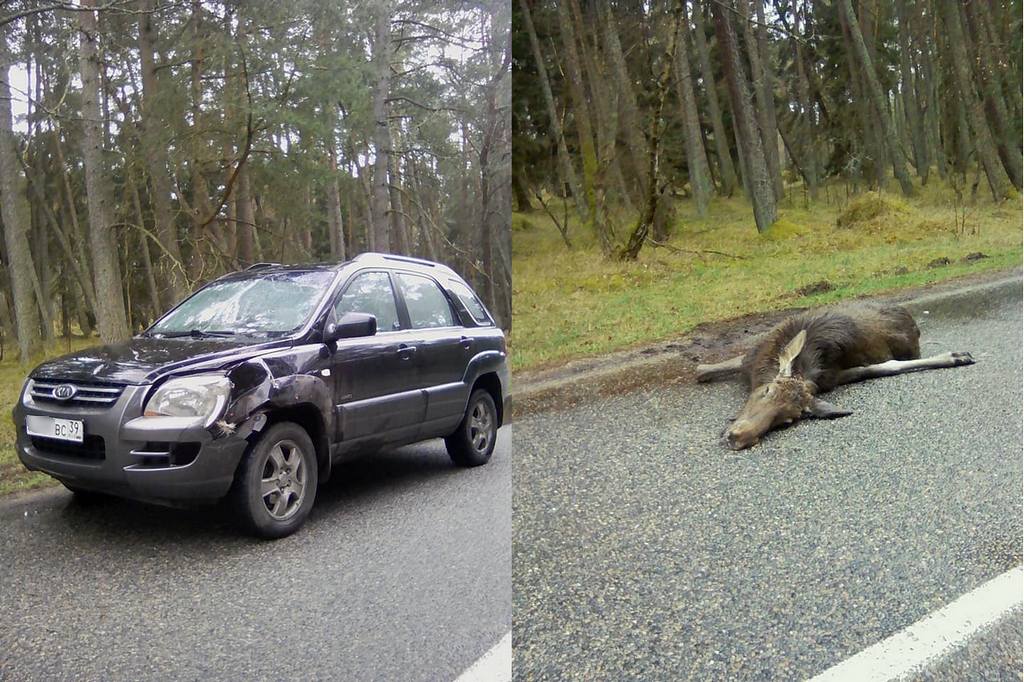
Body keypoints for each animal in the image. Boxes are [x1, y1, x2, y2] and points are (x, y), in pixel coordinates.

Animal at [696, 301, 974, 448]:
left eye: (787, 421)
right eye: (766, 390)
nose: (738, 437)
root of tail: (913, 323)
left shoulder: (833, 376)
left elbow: (883, 367)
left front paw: (955, 356)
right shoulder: (751, 356)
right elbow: (709, 368)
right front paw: (701, 369)